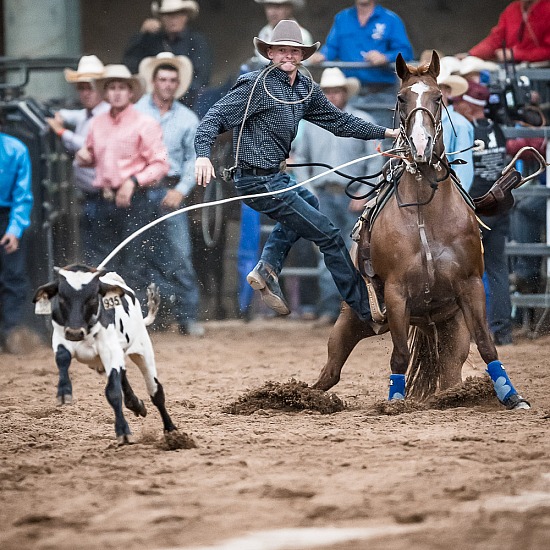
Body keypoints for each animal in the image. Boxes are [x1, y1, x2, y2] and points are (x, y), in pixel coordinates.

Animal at [32, 266, 178, 446]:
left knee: (156, 391)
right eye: (62, 299)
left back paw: (172, 431)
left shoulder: (110, 351)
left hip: (143, 351)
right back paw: (136, 404)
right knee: (124, 378)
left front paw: (123, 433)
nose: (74, 332)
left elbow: (113, 392)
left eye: (92, 298)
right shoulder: (60, 339)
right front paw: (64, 391)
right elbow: (62, 358)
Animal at [314, 51, 536, 412]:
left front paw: (512, 396)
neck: (425, 214)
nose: (421, 145)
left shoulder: (472, 286)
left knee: (451, 369)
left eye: (438, 97)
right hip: (354, 319)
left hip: (451, 326)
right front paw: (394, 401)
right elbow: (400, 356)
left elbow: (486, 344)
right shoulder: (395, 293)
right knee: (331, 370)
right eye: (401, 98)